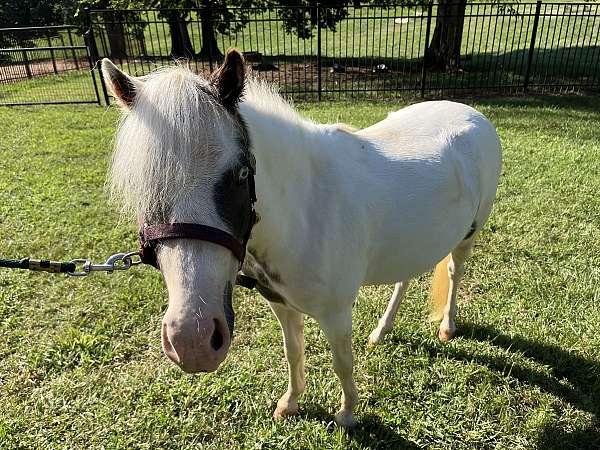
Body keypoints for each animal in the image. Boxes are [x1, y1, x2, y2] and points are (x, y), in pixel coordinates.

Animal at [102, 51, 502, 428]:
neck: (307, 208)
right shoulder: (281, 303)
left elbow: (342, 363)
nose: (193, 342)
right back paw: (381, 330)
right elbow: (293, 351)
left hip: (470, 234)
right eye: (142, 187)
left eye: (241, 173)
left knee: (454, 271)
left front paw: (347, 415)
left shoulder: (336, 312)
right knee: (404, 277)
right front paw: (290, 404)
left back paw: (447, 326)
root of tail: (470, 112)